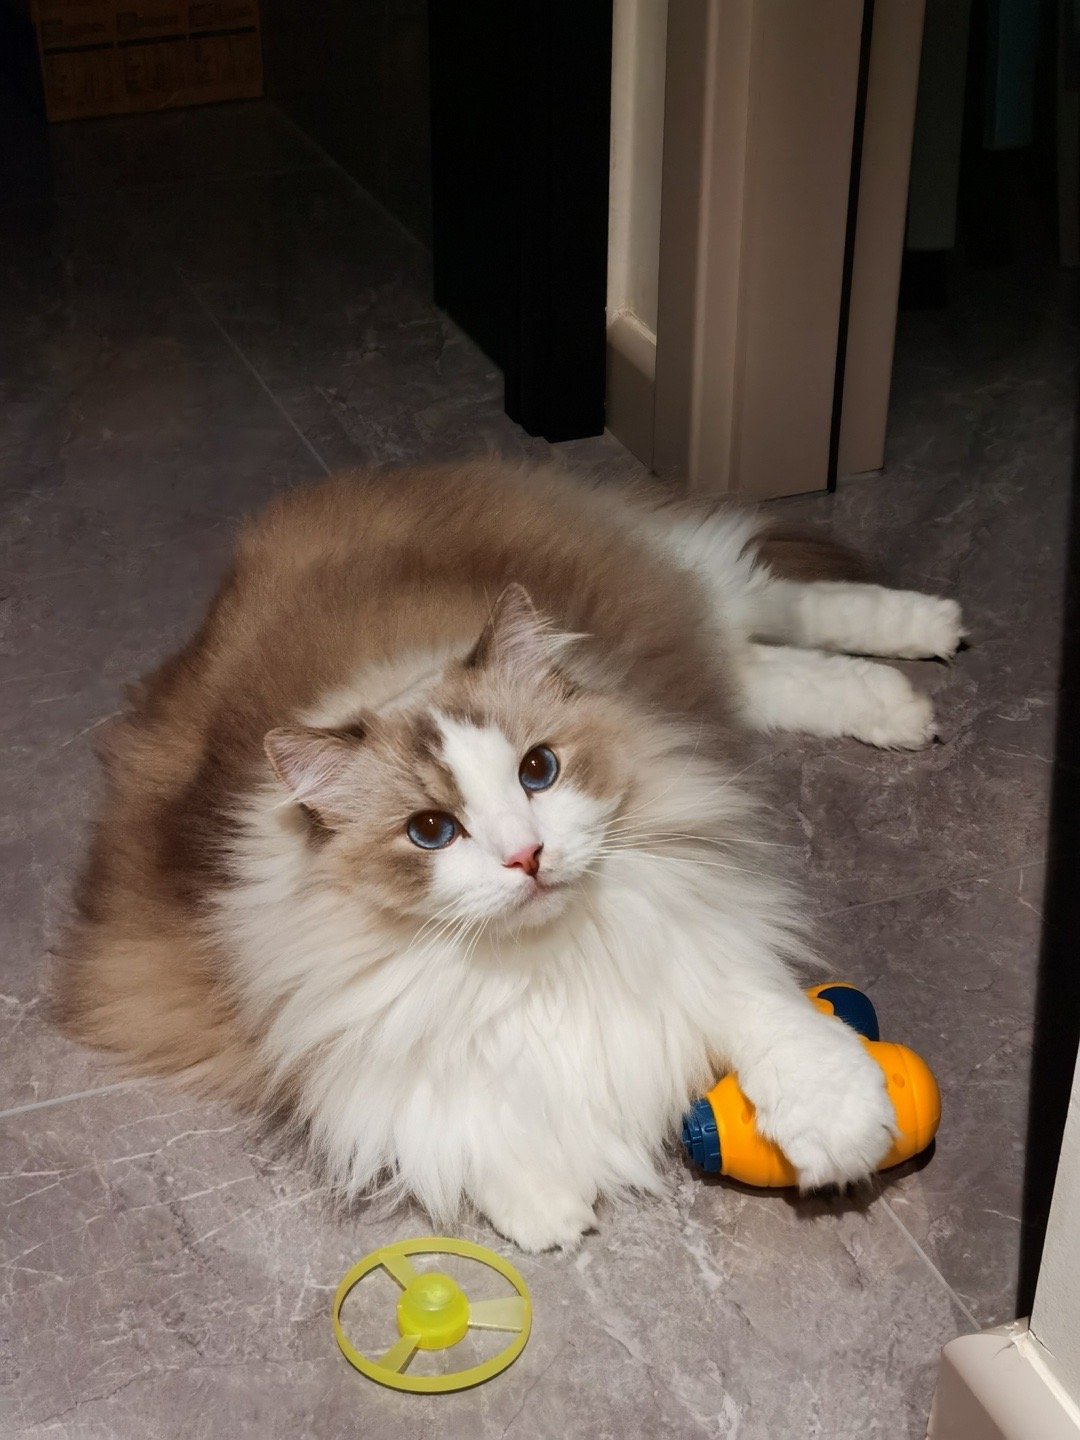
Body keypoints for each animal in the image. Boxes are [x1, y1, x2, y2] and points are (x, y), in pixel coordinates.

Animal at [56, 461, 963, 1250]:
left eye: (539, 771)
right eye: (431, 831)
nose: (527, 857)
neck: (537, 962)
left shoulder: (686, 910)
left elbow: (763, 1013)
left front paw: (840, 1126)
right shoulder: (322, 1021)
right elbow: (441, 1116)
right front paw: (545, 1206)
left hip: (658, 588)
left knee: (768, 595)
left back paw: (929, 639)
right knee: (756, 660)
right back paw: (900, 699)